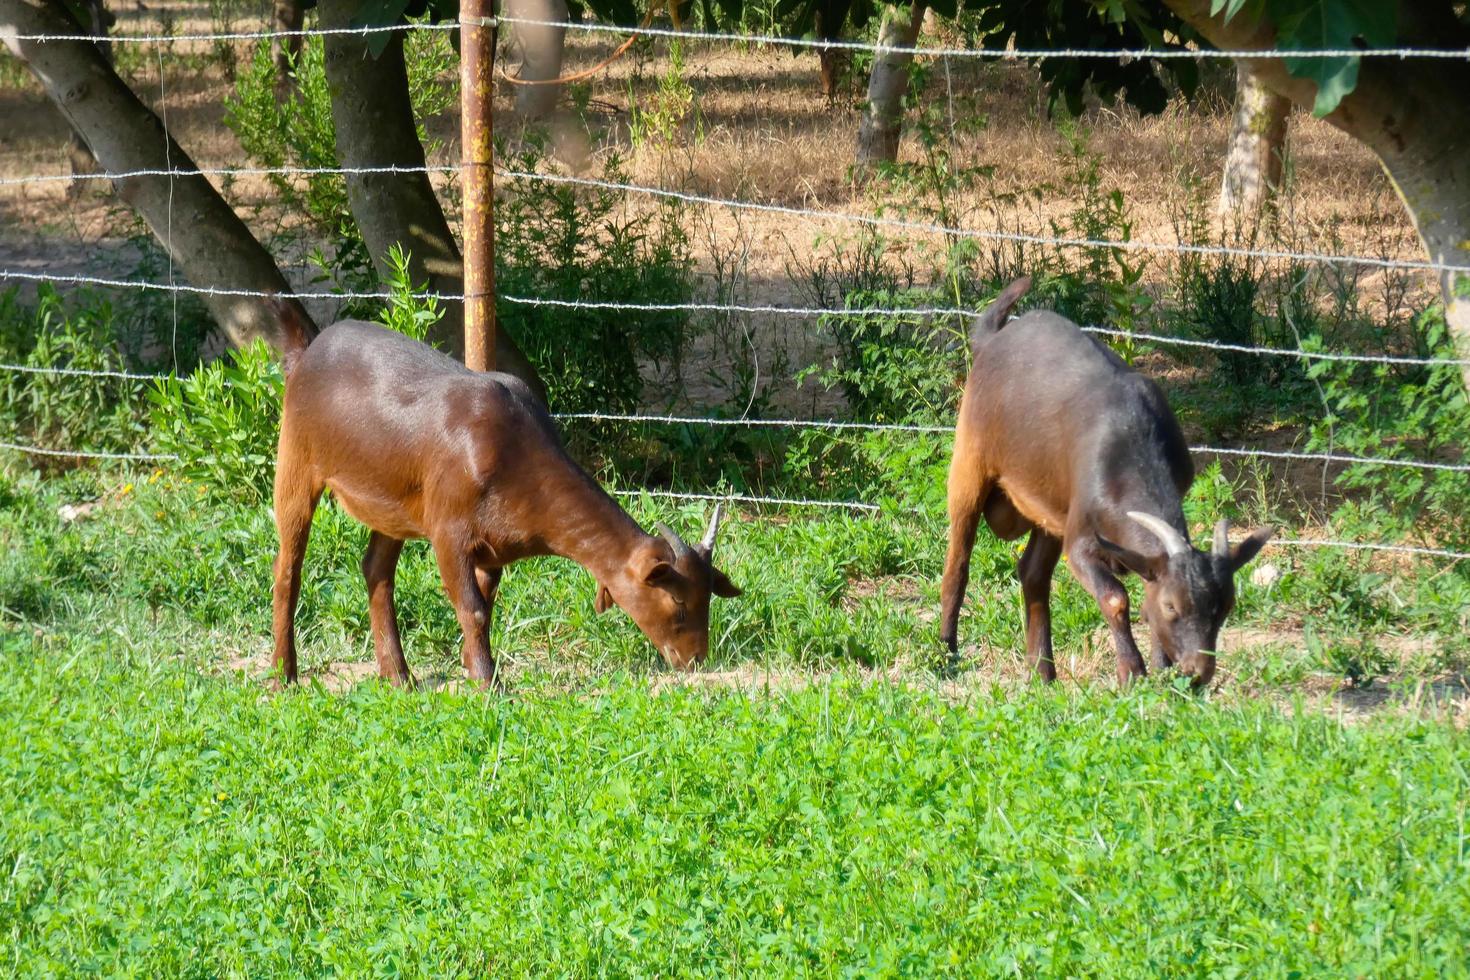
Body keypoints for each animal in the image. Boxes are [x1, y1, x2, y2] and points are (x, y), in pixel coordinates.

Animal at [271, 308, 740, 690]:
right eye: (677, 601)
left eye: (709, 596)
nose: (696, 659)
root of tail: (306, 351)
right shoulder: (449, 530)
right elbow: (473, 608)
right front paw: (488, 684)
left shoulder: (494, 544)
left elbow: (487, 602)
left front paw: (471, 666)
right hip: (296, 459)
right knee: (288, 570)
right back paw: (284, 677)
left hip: (394, 502)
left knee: (376, 571)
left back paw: (399, 677)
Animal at [946, 277, 1270, 690]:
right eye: (1172, 605)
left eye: (1226, 605)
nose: (1197, 673)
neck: (1132, 440)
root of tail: (991, 340)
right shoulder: (1081, 539)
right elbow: (1116, 598)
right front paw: (1132, 672)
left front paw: (1160, 670)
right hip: (970, 463)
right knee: (959, 559)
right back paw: (946, 653)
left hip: (1050, 503)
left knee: (1032, 573)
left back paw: (1042, 672)